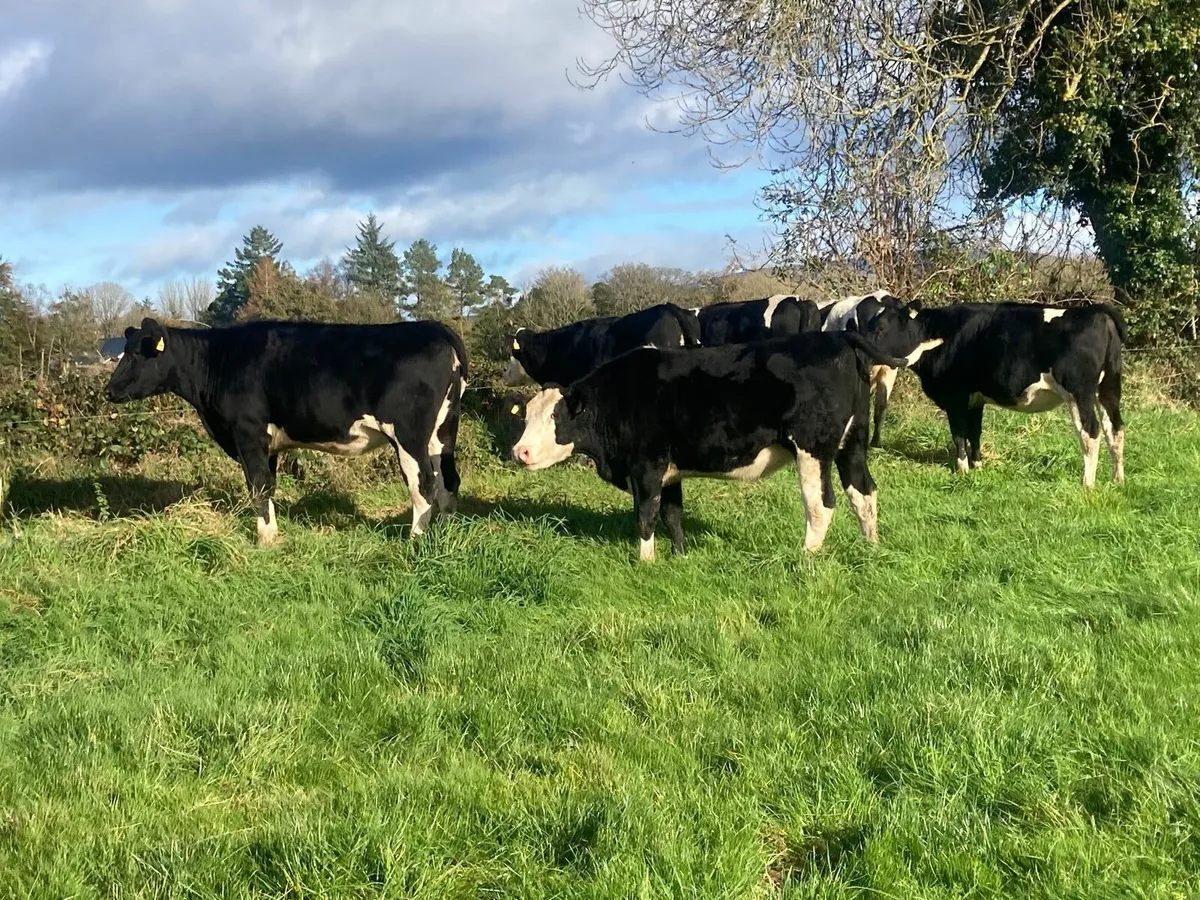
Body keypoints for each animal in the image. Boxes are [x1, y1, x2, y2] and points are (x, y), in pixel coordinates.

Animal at [104, 317, 467, 544]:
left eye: (137, 354)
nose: (109, 390)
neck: (217, 361)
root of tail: (434, 328)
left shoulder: (247, 433)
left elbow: (258, 487)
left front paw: (264, 538)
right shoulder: (270, 445)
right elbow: (269, 486)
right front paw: (273, 532)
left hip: (408, 433)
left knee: (424, 485)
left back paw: (416, 539)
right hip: (444, 429)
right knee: (448, 480)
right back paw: (444, 531)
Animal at [509, 330, 944, 561]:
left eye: (557, 418)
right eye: (525, 417)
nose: (520, 452)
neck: (621, 394)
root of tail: (837, 335)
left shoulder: (647, 467)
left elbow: (646, 515)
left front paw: (645, 561)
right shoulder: (671, 471)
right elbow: (672, 515)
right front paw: (680, 556)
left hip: (813, 449)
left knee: (822, 504)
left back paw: (807, 557)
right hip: (851, 444)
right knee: (863, 493)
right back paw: (872, 548)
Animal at [861, 301, 1126, 487]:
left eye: (881, 327)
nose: (862, 349)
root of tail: (1096, 311)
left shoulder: (956, 397)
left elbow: (959, 434)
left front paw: (962, 469)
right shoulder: (975, 399)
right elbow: (975, 433)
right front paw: (978, 465)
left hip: (1079, 392)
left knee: (1091, 432)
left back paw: (1087, 483)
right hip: (1109, 389)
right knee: (1115, 429)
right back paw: (1118, 480)